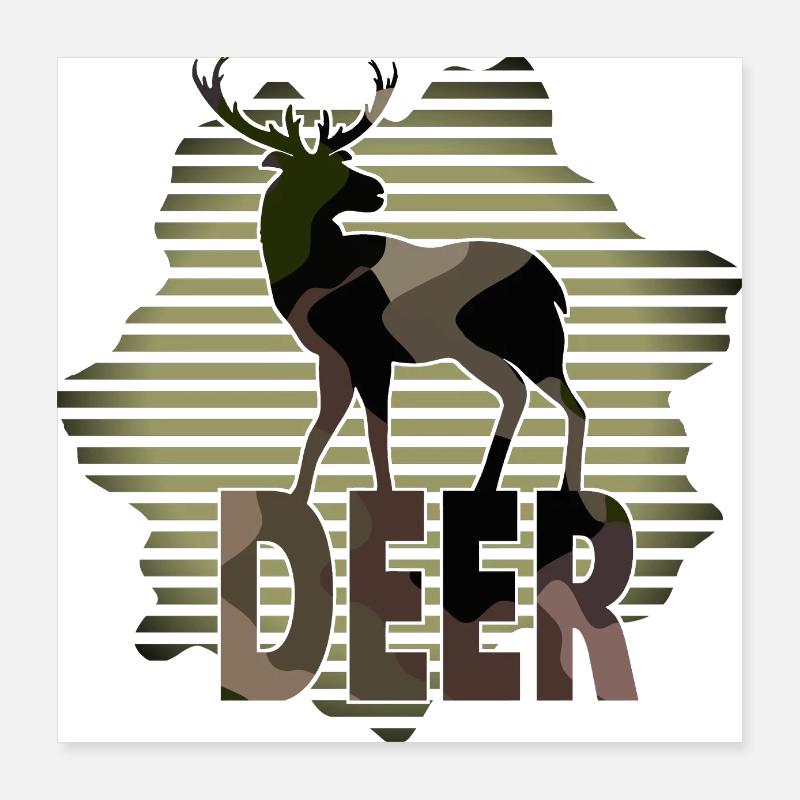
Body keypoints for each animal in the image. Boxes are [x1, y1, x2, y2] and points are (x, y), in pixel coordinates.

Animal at [192, 58, 587, 546]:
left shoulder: (370, 354)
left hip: (520, 342)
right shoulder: (333, 359)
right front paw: (297, 504)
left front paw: (388, 506)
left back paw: (554, 492)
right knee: (531, 396)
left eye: (339, 159)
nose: (377, 189)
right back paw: (498, 488)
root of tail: (551, 284)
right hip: (489, 349)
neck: (309, 273)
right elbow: (320, 431)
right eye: (315, 169)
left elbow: (376, 431)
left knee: (557, 401)